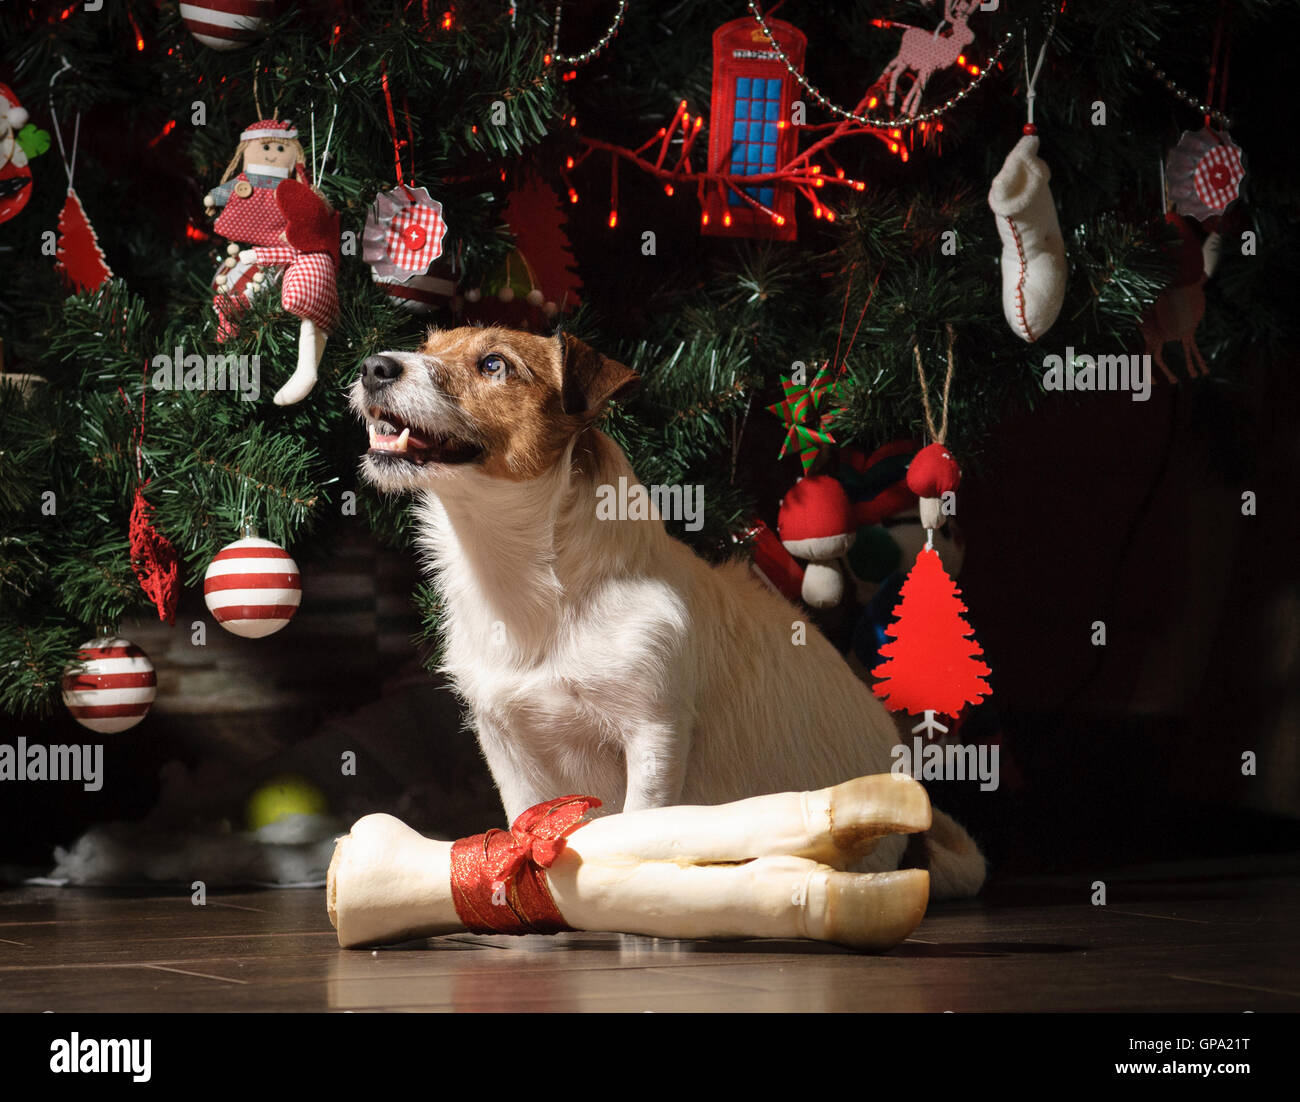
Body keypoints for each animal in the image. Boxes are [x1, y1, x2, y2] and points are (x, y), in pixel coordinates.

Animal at [353, 324, 982, 894]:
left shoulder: (654, 732)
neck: (532, 581)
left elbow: (640, 822)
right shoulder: (507, 742)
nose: (372, 366)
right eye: (428, 345)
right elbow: (522, 824)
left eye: (493, 364)